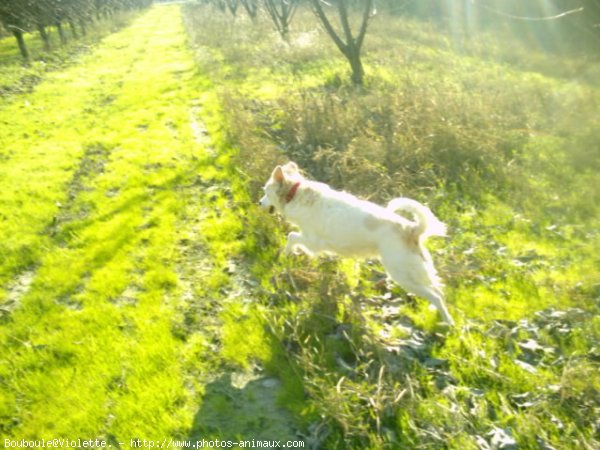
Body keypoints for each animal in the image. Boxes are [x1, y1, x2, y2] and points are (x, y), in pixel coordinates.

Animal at [258, 161, 454, 324]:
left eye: (265, 192)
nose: (259, 202)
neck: (295, 193)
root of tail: (411, 228)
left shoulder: (313, 242)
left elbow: (292, 236)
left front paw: (285, 254)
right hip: (417, 272)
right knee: (439, 292)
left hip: (403, 276)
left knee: (435, 295)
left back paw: (448, 322)